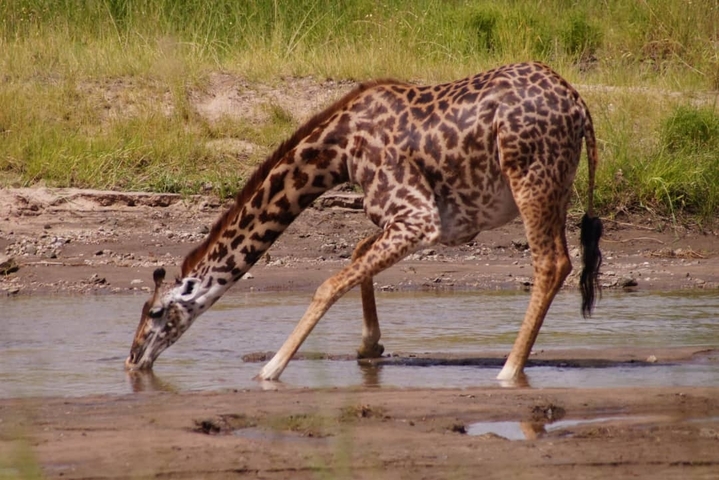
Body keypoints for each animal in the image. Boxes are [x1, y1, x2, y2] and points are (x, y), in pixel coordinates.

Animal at [126, 61, 602, 383]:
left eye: (156, 312)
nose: (131, 360)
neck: (337, 152)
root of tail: (580, 106)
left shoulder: (417, 217)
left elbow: (329, 283)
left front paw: (271, 369)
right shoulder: (419, 220)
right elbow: (356, 257)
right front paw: (369, 345)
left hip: (531, 180)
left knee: (551, 264)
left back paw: (508, 371)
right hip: (555, 188)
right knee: (560, 261)